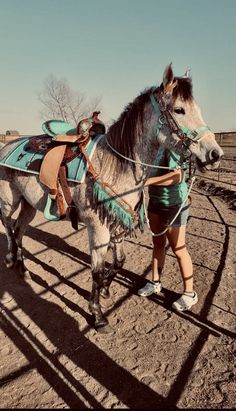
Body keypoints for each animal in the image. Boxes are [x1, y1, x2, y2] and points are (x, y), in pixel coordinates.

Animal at [0, 65, 223, 334]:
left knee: (19, 230)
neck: (115, 166)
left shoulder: (116, 226)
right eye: (179, 110)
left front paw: (106, 289)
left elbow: (118, 262)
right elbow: (96, 271)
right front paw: (97, 316)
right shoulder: (98, 230)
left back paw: (23, 270)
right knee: (9, 227)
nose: (215, 154)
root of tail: (7, 145)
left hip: (29, 206)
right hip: (9, 201)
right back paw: (11, 260)